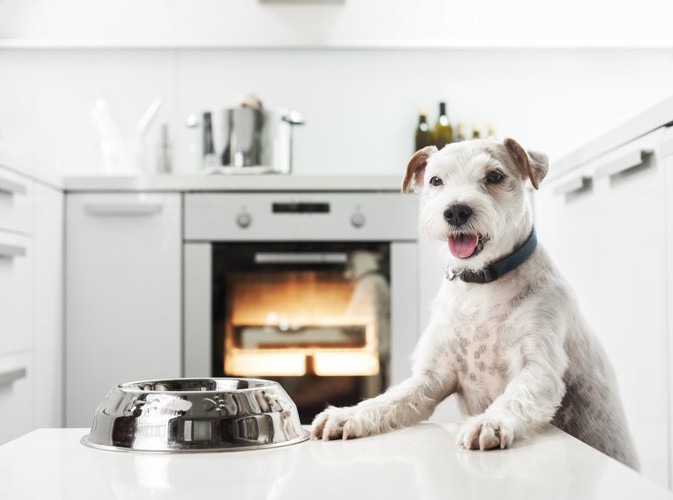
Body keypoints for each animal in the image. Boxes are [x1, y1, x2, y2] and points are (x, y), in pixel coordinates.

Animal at [312, 136, 636, 468]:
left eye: (494, 176)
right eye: (435, 180)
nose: (456, 211)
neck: (481, 285)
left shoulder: (537, 370)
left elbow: (514, 399)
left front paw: (488, 423)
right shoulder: (432, 377)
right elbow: (389, 398)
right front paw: (348, 414)